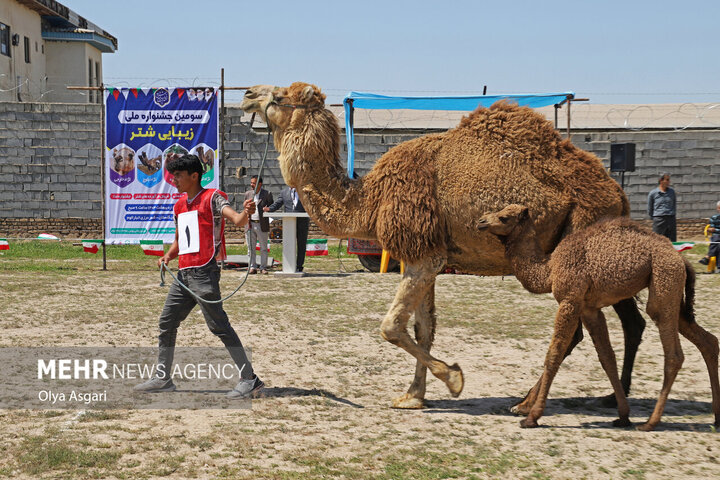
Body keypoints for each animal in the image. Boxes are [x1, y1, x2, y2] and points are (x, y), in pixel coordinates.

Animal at [478, 204, 720, 430]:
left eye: (504, 217)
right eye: (496, 211)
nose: (481, 222)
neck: (550, 269)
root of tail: (681, 260)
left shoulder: (570, 300)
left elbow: (554, 354)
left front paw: (531, 417)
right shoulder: (589, 309)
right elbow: (606, 357)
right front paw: (623, 415)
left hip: (664, 280)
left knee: (673, 353)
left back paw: (650, 423)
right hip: (673, 295)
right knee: (708, 341)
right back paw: (716, 418)